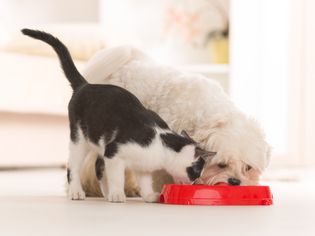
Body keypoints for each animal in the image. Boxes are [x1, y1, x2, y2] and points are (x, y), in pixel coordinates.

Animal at [21, 29, 216, 203]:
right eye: (197, 171)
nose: (195, 183)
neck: (161, 143)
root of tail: (85, 85)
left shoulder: (142, 166)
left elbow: (144, 182)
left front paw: (148, 196)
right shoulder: (114, 153)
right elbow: (117, 177)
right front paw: (117, 194)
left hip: (98, 143)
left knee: (98, 167)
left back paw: (105, 194)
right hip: (79, 139)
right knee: (73, 167)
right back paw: (77, 192)